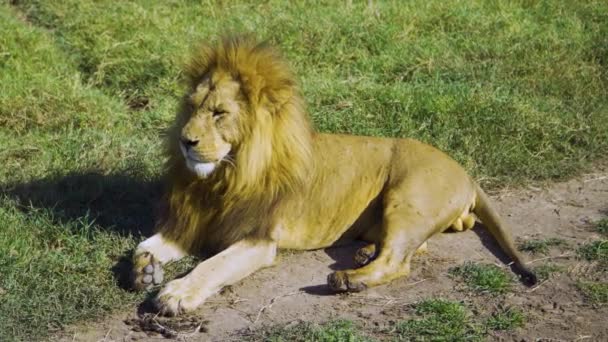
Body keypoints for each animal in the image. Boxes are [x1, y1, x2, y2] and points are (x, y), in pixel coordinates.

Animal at [131, 35, 536, 316]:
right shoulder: (191, 223)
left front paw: (176, 293)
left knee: (398, 261)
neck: (221, 179)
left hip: (407, 199)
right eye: (191, 107)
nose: (185, 141)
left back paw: (348, 279)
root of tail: (465, 172)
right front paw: (144, 272)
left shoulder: (257, 239)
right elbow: (143, 247)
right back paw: (364, 253)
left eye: (219, 113)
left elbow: (212, 266)